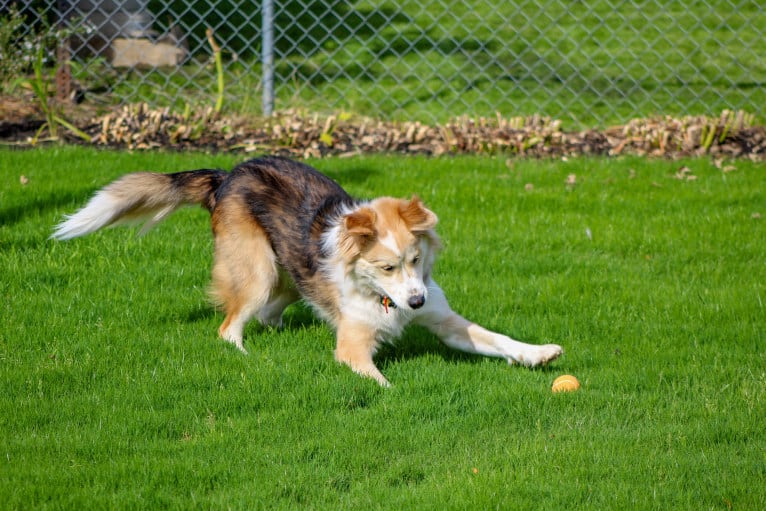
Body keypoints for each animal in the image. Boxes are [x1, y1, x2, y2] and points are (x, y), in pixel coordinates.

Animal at [51, 158, 560, 386]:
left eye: (416, 260)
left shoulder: (446, 320)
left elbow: (497, 339)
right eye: (386, 266)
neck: (382, 297)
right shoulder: (352, 346)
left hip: (292, 275)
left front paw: (538, 354)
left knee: (270, 311)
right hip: (257, 270)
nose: (415, 301)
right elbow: (379, 380)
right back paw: (247, 359)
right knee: (230, 325)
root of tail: (227, 173)